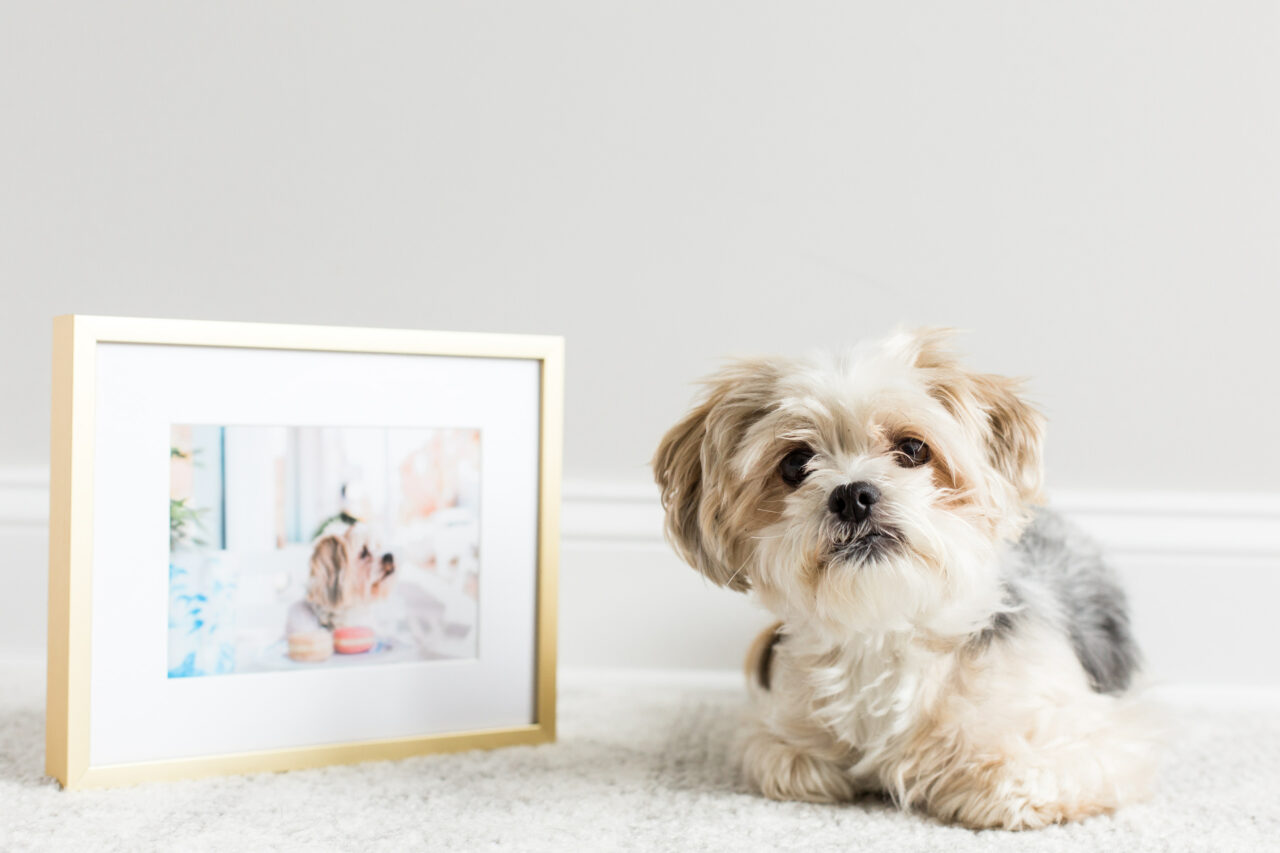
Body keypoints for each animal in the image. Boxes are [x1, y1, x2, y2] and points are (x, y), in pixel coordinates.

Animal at [650, 327, 1162, 824]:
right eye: (795, 463)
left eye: (913, 448)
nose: (851, 496)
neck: (887, 626)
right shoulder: (780, 743)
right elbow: (792, 762)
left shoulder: (1088, 744)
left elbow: (1000, 780)